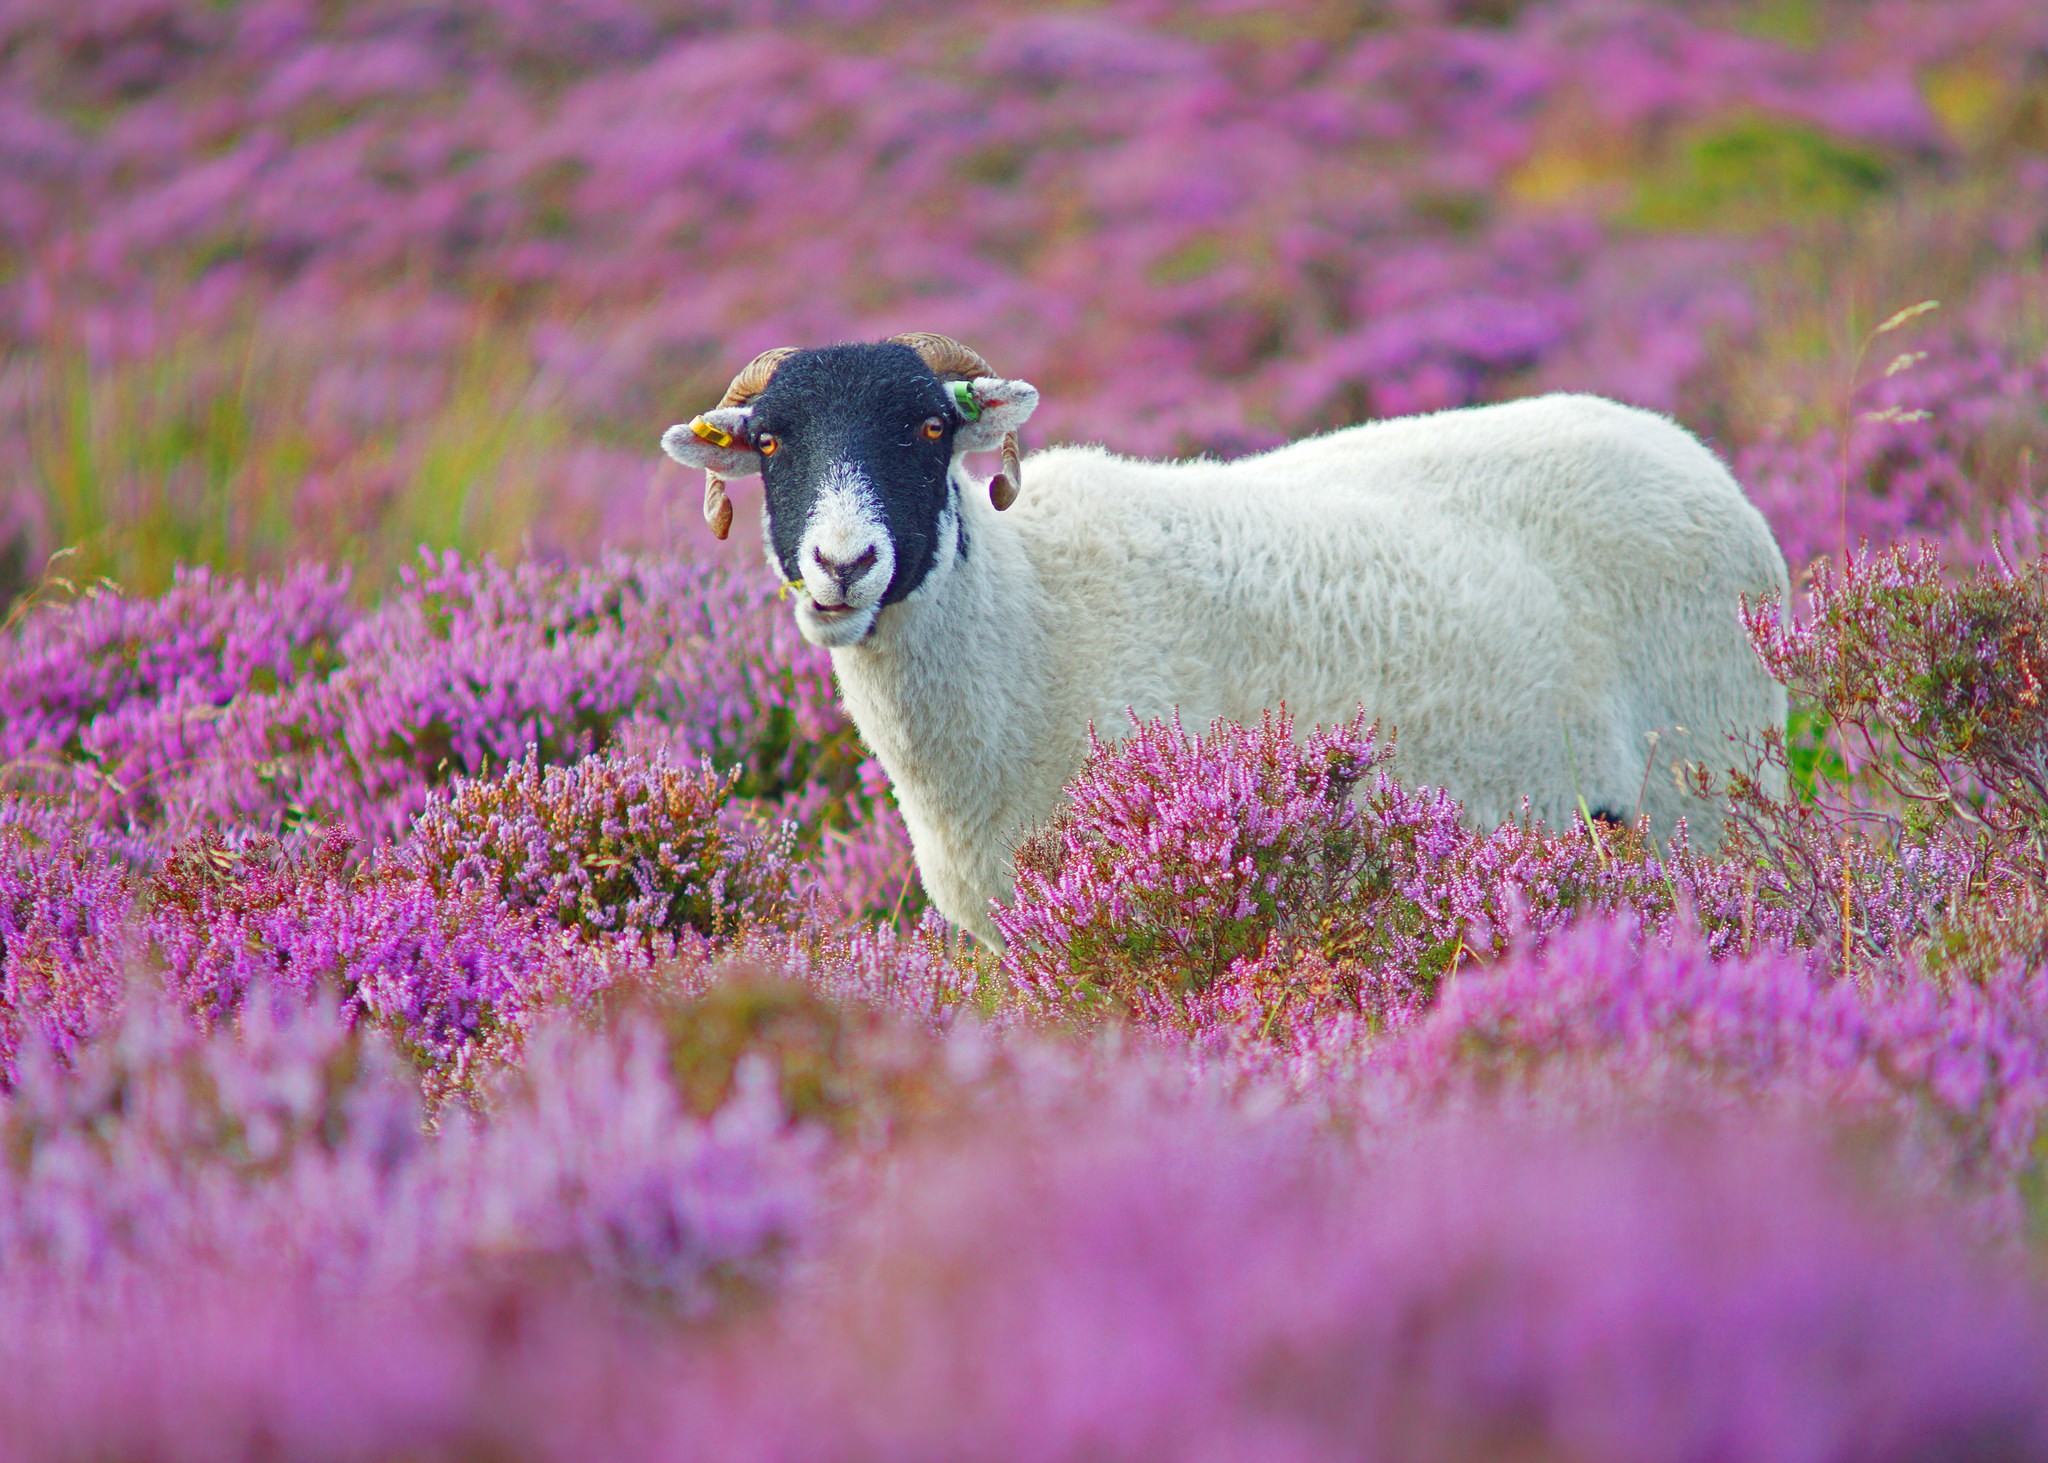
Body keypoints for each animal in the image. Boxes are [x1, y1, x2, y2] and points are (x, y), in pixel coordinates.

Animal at [663, 333, 1785, 938]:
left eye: (930, 430)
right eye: (772, 442)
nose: (842, 565)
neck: (1027, 612)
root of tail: (1694, 457)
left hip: (1707, 786)